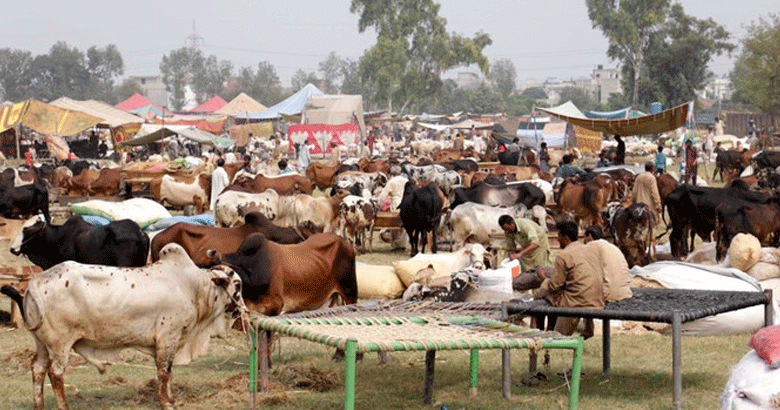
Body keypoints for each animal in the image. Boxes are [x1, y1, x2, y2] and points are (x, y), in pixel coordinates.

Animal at [0, 243, 247, 410]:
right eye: (237, 285)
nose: (244, 311)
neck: (194, 287)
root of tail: (35, 282)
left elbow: (167, 373)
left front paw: (171, 399)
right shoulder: (168, 337)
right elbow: (164, 372)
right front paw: (167, 402)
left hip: (42, 343)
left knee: (38, 368)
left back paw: (39, 405)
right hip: (61, 345)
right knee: (56, 373)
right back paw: (64, 406)